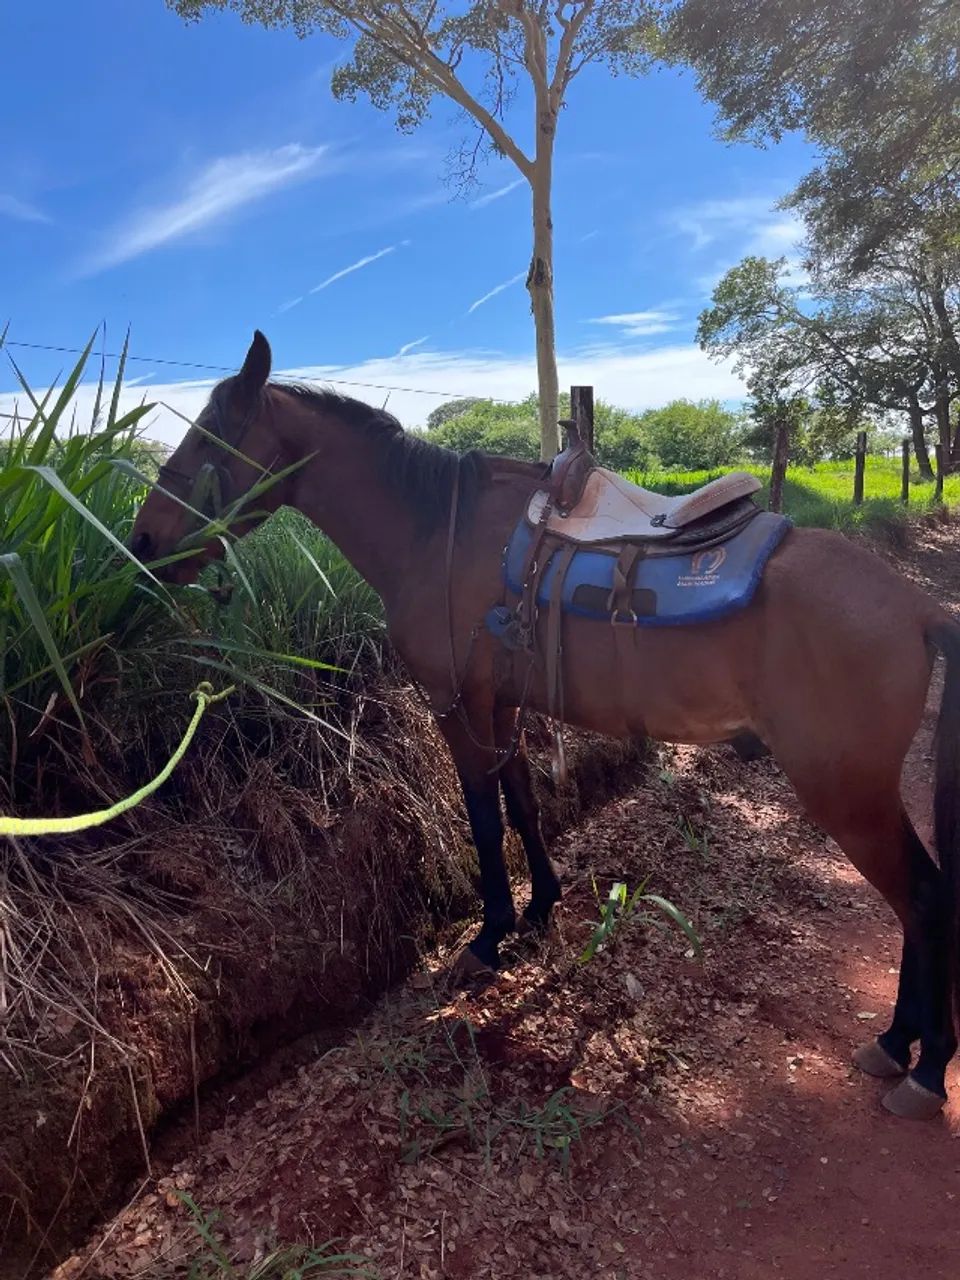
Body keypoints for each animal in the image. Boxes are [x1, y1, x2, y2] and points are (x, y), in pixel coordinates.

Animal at [130, 331, 960, 1121]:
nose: (140, 545)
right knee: (924, 899)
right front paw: (539, 908)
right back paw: (902, 1047)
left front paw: (489, 935)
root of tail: (919, 611)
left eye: (207, 439)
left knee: (922, 900)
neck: (436, 532)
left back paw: (917, 1062)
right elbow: (524, 804)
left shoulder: (455, 704)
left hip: (846, 792)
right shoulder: (501, 703)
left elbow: (483, 819)